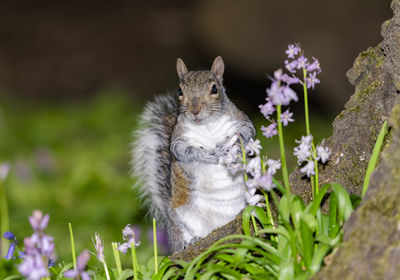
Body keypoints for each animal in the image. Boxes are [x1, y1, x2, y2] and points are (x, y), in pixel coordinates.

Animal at [133, 57, 255, 252]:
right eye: (180, 91)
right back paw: (189, 242)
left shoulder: (240, 119)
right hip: (178, 216)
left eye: (214, 89)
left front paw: (234, 145)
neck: (206, 125)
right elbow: (182, 150)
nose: (194, 110)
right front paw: (205, 155)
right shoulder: (178, 137)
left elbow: (249, 130)